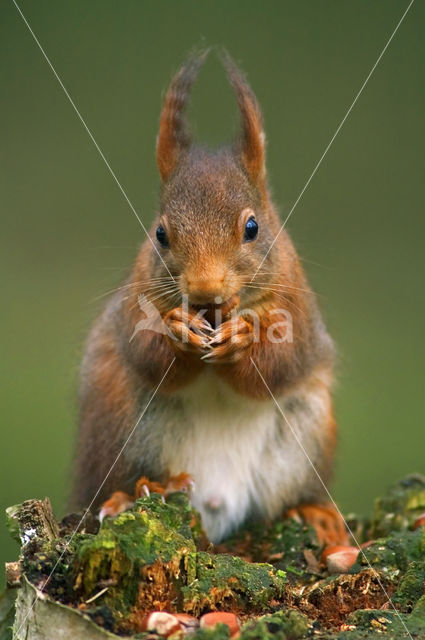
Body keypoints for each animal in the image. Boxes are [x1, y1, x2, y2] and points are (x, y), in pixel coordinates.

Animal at [70, 52, 348, 548]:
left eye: (253, 227)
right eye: (161, 234)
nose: (204, 291)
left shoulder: (299, 312)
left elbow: (284, 362)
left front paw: (245, 340)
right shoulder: (134, 306)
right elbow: (144, 352)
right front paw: (177, 332)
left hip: (304, 437)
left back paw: (315, 514)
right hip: (123, 426)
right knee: (125, 478)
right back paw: (136, 493)